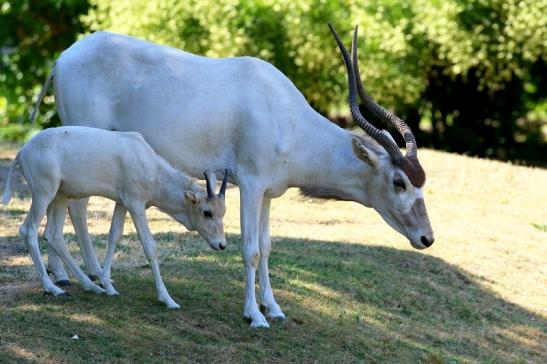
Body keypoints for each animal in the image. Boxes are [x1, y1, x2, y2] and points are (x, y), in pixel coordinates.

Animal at [1, 126, 228, 308]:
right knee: (29, 230)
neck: (151, 167)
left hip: (61, 195)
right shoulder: (136, 204)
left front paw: (107, 284)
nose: (221, 245)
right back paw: (53, 289)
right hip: (44, 193)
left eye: (223, 211)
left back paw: (92, 286)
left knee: (53, 234)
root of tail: (22, 151)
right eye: (207, 212)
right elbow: (150, 246)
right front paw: (168, 300)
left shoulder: (122, 202)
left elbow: (114, 235)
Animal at [30, 24, 434, 328]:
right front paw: (255, 315)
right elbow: (251, 250)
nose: (427, 238)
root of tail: (62, 59)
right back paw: (91, 278)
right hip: (86, 142)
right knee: (76, 207)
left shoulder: (269, 192)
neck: (286, 117)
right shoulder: (251, 185)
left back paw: (66, 276)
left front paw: (274, 307)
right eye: (399, 181)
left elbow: (268, 246)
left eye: (422, 181)